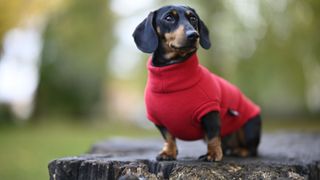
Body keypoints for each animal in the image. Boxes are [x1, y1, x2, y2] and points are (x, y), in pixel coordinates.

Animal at [132, 5, 260, 162]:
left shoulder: (210, 111)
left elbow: (213, 135)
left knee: (252, 149)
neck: (172, 76)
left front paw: (212, 154)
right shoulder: (158, 120)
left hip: (249, 126)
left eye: (193, 18)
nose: (193, 35)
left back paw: (241, 151)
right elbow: (168, 137)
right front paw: (168, 153)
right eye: (169, 18)